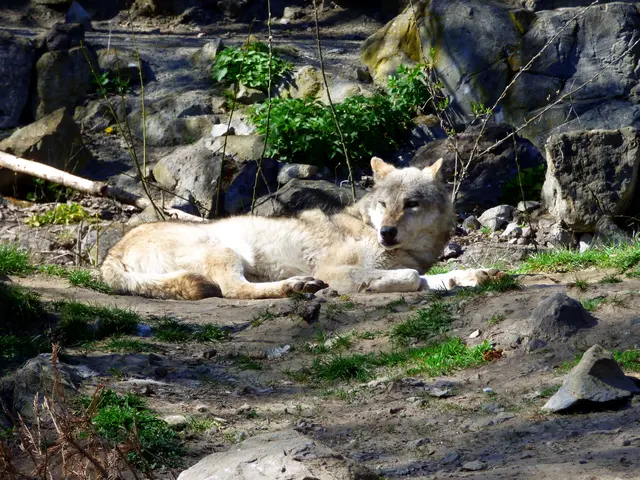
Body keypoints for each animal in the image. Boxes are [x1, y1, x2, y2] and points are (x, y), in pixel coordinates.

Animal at [100, 157, 502, 300]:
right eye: (383, 206)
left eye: (411, 205)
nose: (386, 232)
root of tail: (111, 252)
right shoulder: (334, 269)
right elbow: (411, 278)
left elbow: (443, 276)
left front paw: (479, 274)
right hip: (227, 251)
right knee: (232, 290)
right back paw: (296, 286)